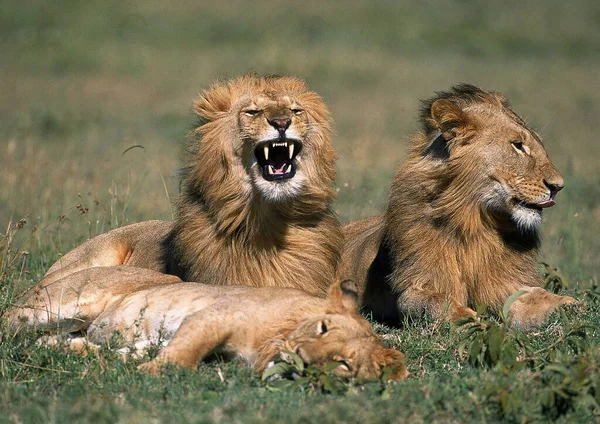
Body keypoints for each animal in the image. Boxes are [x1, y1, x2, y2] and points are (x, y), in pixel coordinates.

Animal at [4, 264, 408, 380]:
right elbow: (181, 358)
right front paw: (148, 373)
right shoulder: (213, 315)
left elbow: (128, 352)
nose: (303, 361)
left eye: (343, 365)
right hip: (61, 306)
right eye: (322, 328)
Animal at [340, 83, 580, 332]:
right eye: (518, 145)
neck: (474, 220)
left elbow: (535, 296)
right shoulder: (415, 286)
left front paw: (567, 306)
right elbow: (438, 303)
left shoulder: (506, 283)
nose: (558, 186)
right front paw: (469, 319)